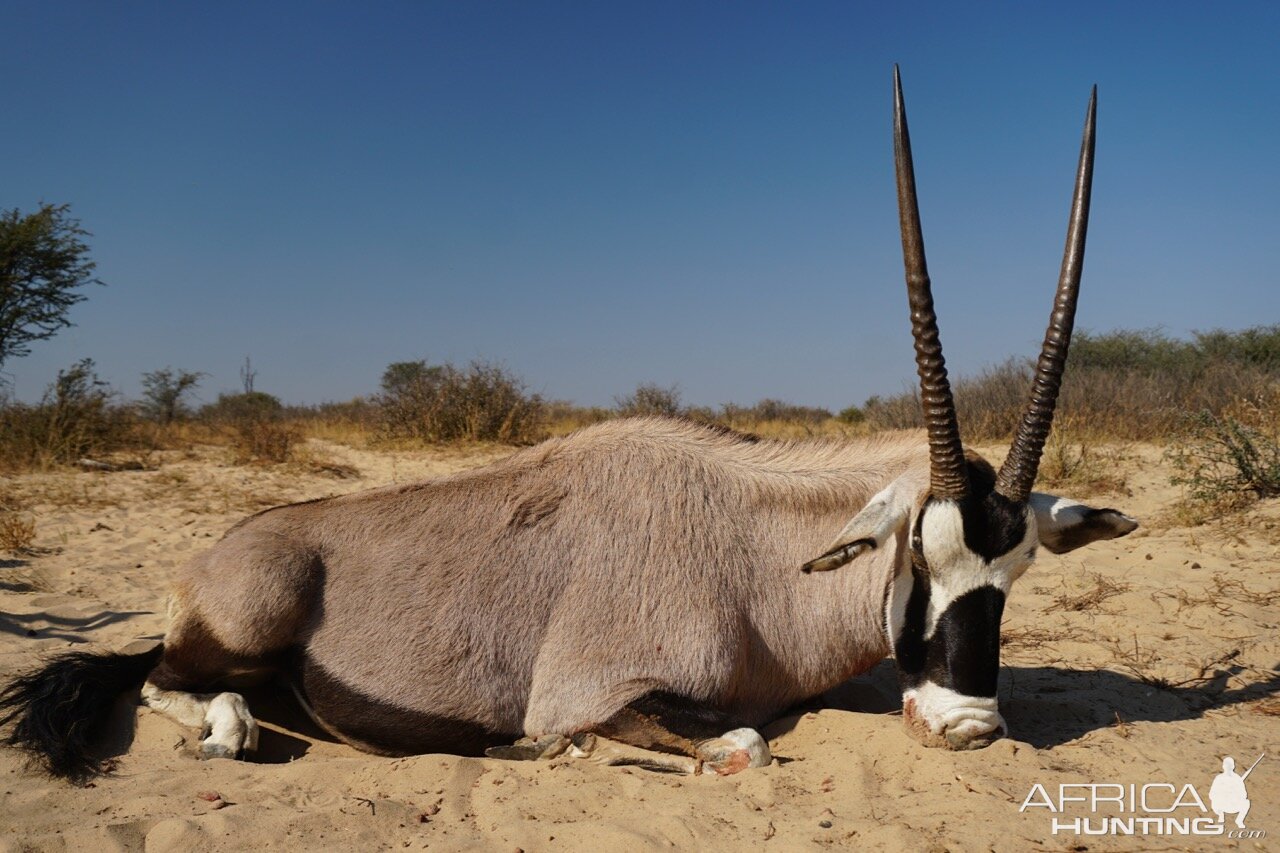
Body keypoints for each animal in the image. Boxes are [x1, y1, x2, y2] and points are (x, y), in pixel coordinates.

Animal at [2, 69, 1141, 778]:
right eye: (919, 556)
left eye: (1016, 570)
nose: (968, 726)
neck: (751, 554)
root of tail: (206, 560)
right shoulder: (592, 691)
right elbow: (740, 742)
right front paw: (556, 751)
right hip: (234, 632)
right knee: (182, 690)